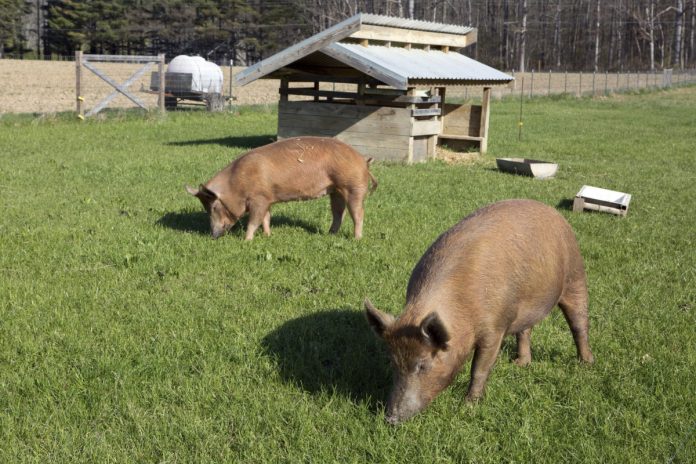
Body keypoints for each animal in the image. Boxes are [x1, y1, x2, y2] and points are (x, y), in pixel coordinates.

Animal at [185, 136, 378, 239]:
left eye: (214, 207)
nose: (213, 235)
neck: (237, 185)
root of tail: (364, 161)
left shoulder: (258, 199)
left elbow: (254, 220)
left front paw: (247, 241)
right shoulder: (267, 199)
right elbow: (266, 218)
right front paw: (268, 236)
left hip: (353, 186)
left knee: (358, 213)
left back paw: (357, 239)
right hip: (336, 190)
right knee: (339, 212)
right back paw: (329, 234)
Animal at [364, 199, 592, 424]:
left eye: (422, 365)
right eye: (393, 363)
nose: (390, 419)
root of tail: (553, 212)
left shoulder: (495, 329)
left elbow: (479, 368)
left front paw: (467, 407)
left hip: (575, 275)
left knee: (579, 324)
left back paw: (586, 363)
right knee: (525, 330)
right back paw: (520, 364)